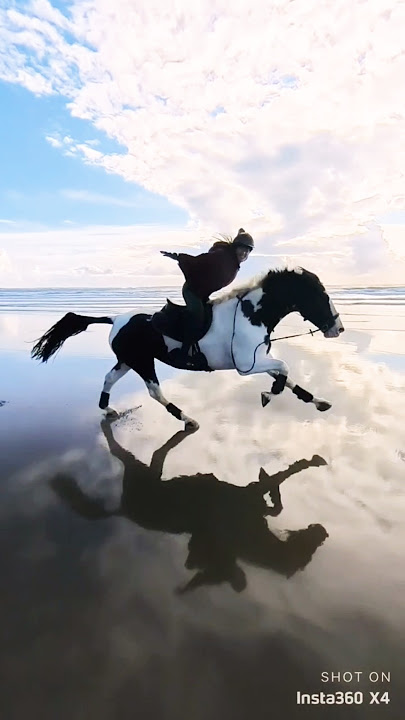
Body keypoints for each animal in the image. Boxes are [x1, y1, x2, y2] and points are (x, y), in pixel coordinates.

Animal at [32, 266, 344, 430]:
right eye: (321, 295)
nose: (338, 329)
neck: (250, 313)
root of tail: (116, 318)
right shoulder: (248, 365)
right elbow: (284, 370)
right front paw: (269, 395)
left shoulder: (257, 359)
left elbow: (287, 377)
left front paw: (318, 402)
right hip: (143, 363)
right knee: (155, 392)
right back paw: (186, 418)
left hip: (128, 360)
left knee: (109, 378)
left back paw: (107, 409)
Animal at [50, 419, 329, 593]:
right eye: (307, 554)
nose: (323, 532)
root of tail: (122, 510)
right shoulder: (247, 493)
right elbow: (283, 476)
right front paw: (312, 461)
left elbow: (274, 496)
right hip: (141, 473)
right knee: (124, 452)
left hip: (150, 473)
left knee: (152, 454)